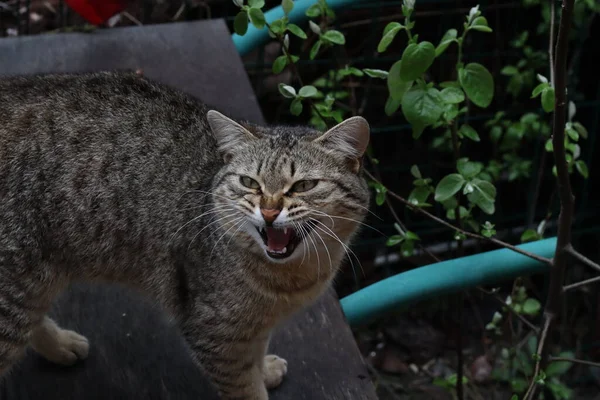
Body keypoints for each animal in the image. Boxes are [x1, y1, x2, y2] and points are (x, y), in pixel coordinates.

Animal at [0, 70, 370, 398]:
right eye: (249, 182)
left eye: (304, 185)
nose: (268, 210)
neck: (288, 282)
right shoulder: (213, 332)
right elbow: (244, 389)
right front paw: (258, 380)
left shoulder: (247, 330)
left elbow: (255, 353)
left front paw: (264, 368)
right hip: (15, 288)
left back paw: (60, 345)